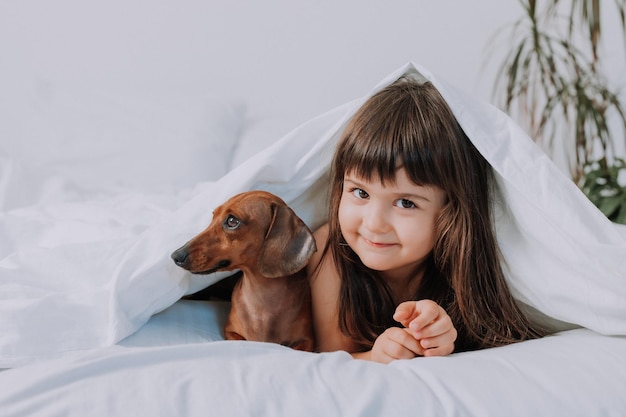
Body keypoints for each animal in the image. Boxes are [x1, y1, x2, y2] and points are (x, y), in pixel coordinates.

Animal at [169, 192, 314, 352]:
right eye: (213, 216)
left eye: (232, 220)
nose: (175, 256)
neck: (262, 297)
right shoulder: (231, 332)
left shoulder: (308, 340)